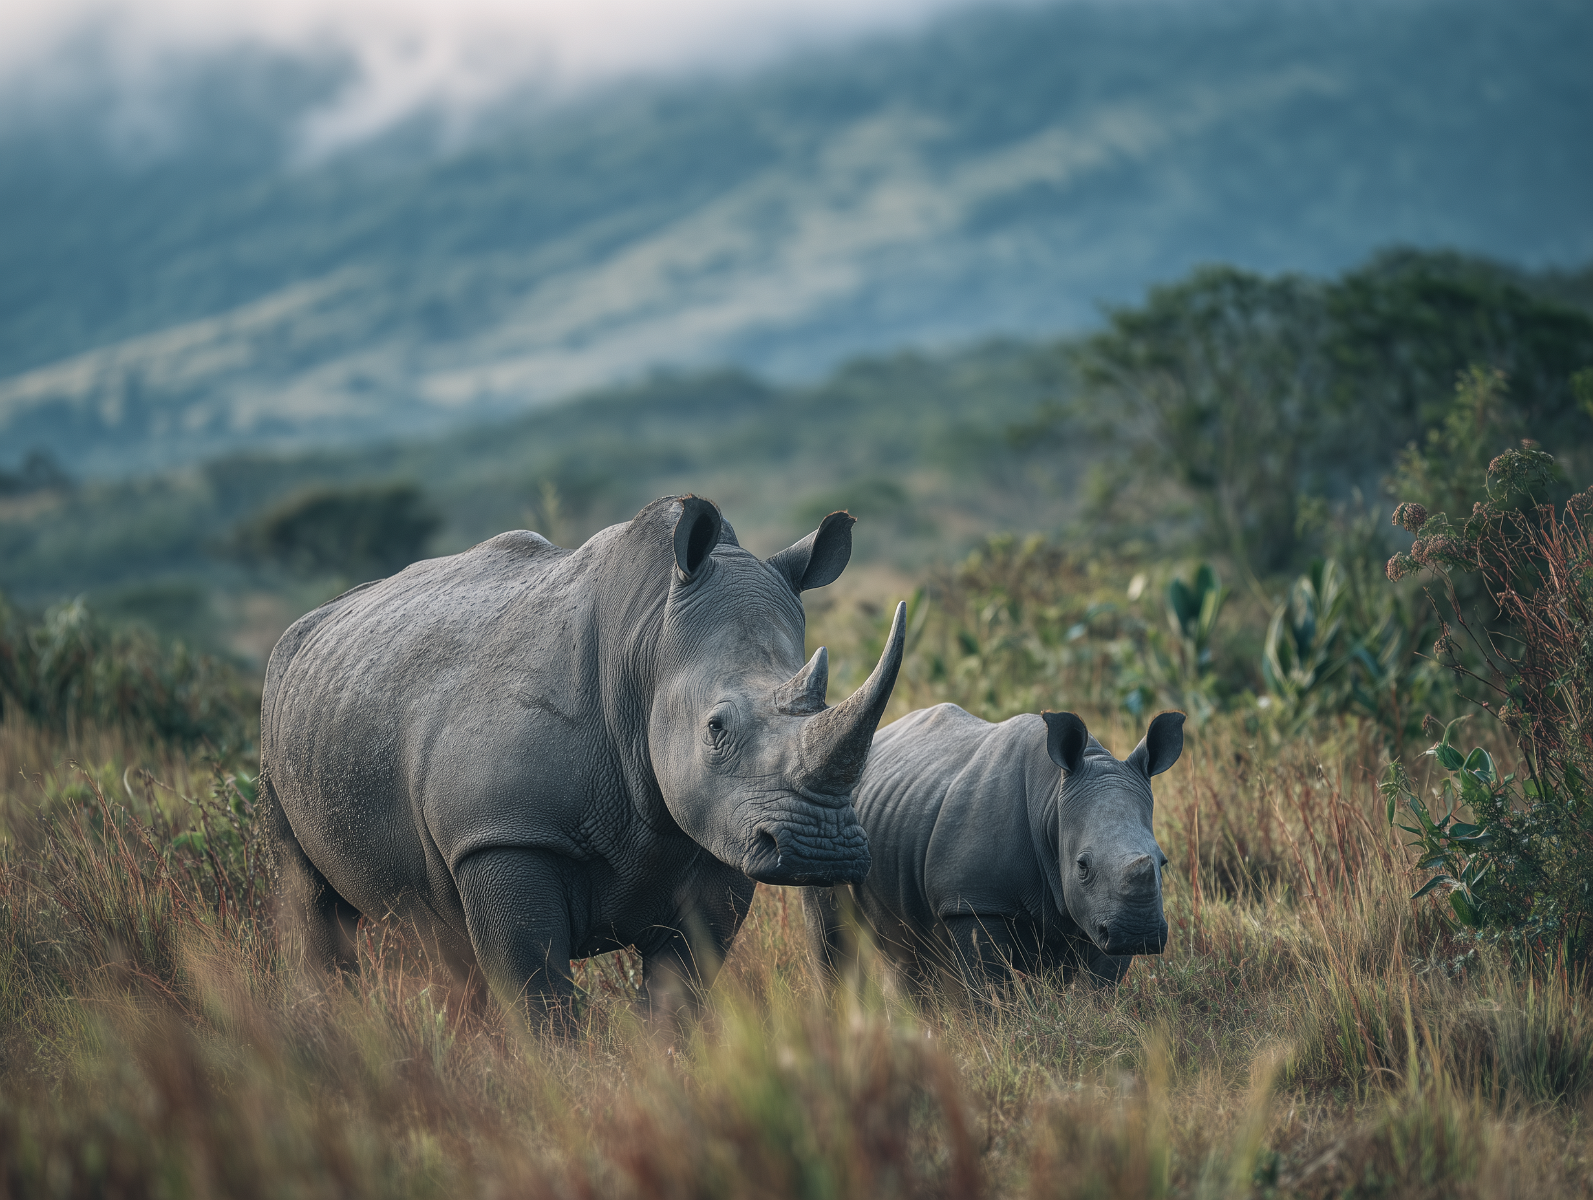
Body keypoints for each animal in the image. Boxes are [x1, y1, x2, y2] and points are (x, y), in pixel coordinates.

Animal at [260, 495, 906, 1020]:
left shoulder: (719, 833)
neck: (646, 642)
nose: (823, 849)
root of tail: (306, 624)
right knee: (309, 898)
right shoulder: (501, 833)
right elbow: (538, 992)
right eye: (716, 728)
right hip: (278, 700)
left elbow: (679, 992)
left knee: (440, 935)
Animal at [803, 704, 1183, 994]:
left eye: (1163, 862)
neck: (1052, 802)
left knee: (908, 951)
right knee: (833, 938)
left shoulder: (1103, 918)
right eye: (1082, 866)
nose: (1139, 933)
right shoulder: (973, 901)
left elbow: (1098, 988)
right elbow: (992, 991)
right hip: (825, 816)